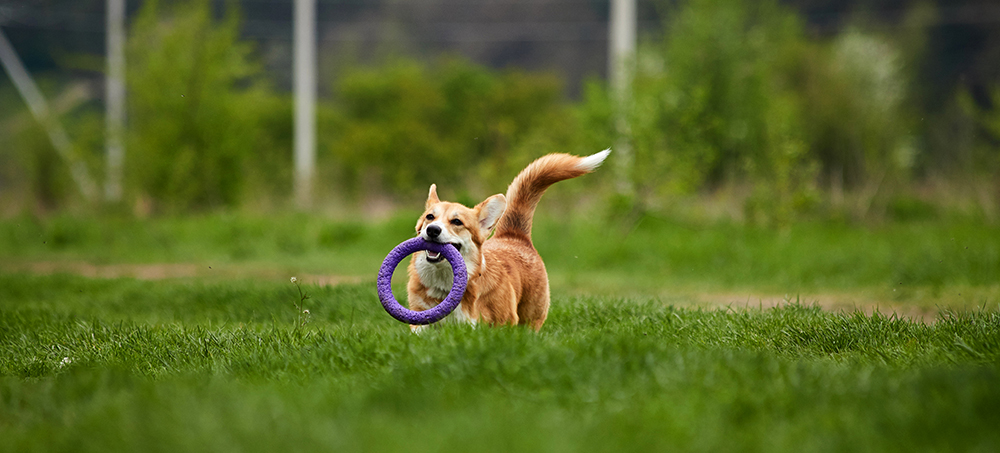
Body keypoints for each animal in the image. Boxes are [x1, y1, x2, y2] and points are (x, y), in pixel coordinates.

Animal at [406, 150, 608, 330]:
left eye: (457, 222)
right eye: (430, 217)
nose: (432, 230)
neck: (445, 283)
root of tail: (514, 234)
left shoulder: (502, 323)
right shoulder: (421, 321)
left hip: (531, 317)